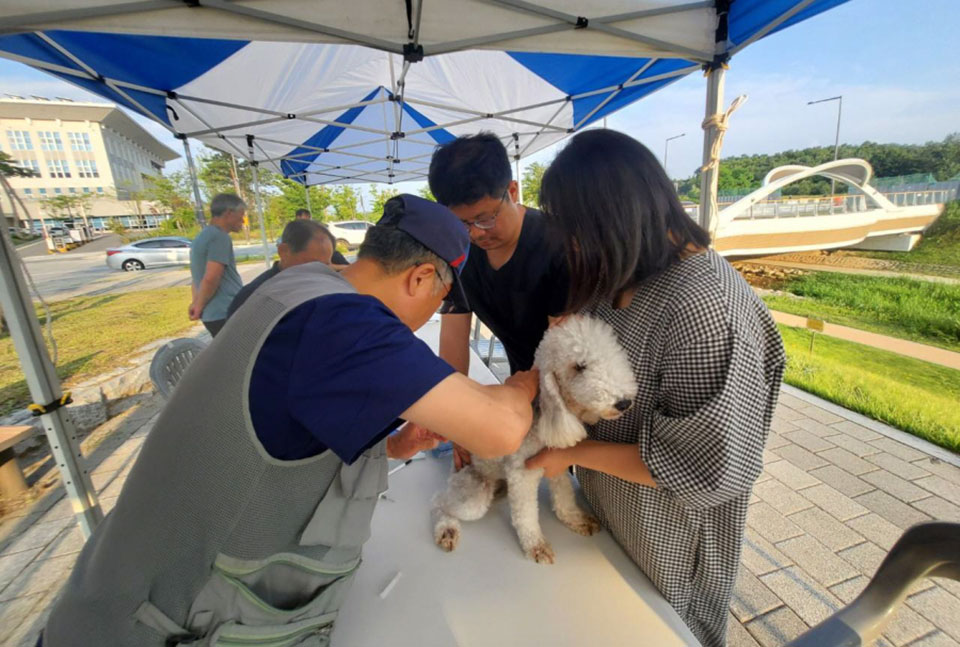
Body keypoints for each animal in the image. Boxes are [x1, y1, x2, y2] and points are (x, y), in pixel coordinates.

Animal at [436, 316, 636, 564]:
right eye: (579, 366)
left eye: (613, 355)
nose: (624, 403)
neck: (543, 414)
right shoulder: (522, 473)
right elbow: (526, 515)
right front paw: (536, 545)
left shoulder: (555, 460)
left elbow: (564, 495)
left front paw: (575, 519)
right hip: (472, 494)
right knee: (439, 502)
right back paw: (447, 530)